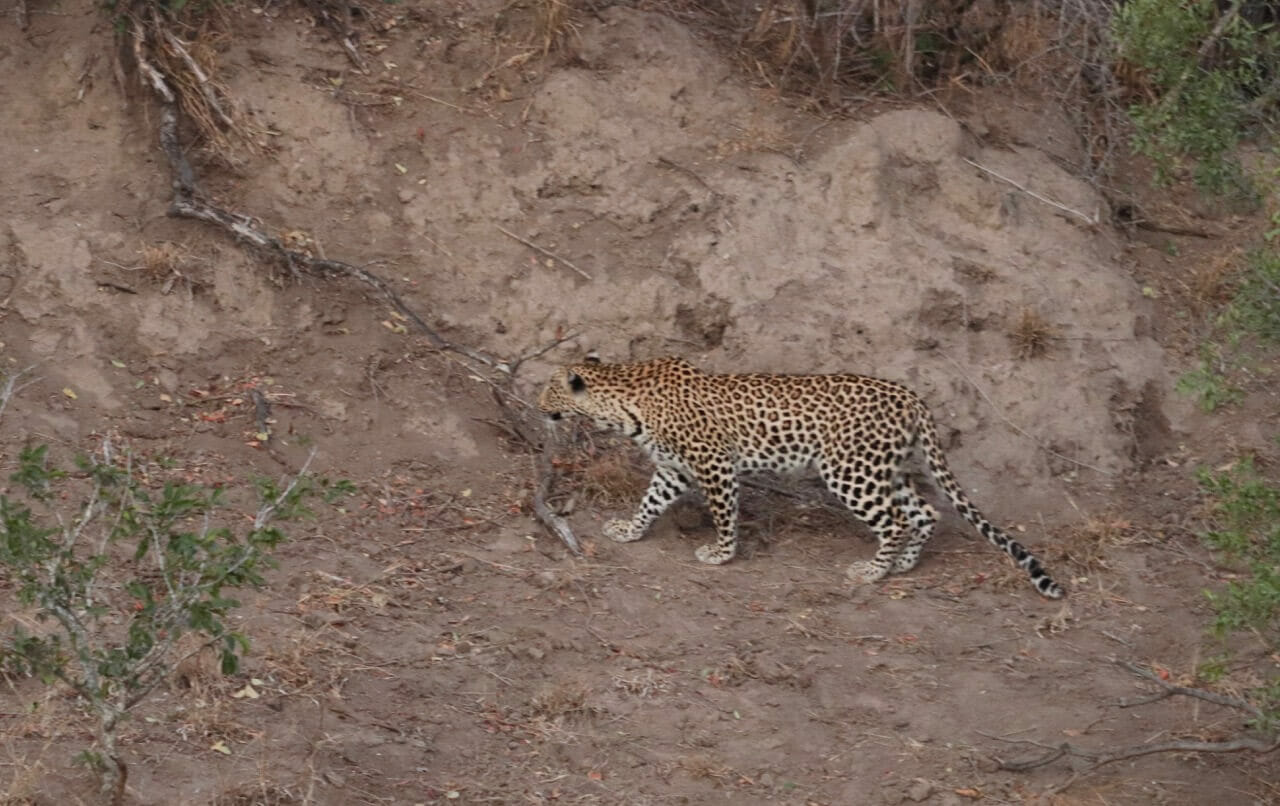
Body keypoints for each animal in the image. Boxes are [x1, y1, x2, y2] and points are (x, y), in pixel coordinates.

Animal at [535, 355, 1064, 601]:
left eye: (547, 390)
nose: (539, 406)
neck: (624, 403)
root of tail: (911, 397)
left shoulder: (714, 464)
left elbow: (724, 513)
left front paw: (721, 554)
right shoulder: (672, 468)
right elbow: (650, 500)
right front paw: (629, 529)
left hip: (851, 471)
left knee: (895, 520)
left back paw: (872, 571)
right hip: (884, 468)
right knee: (925, 511)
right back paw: (903, 565)